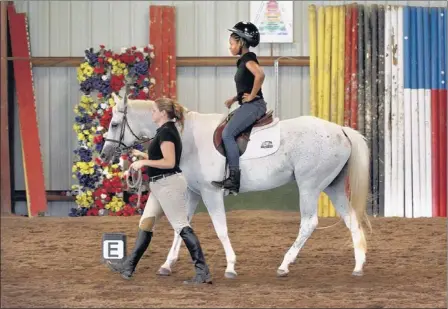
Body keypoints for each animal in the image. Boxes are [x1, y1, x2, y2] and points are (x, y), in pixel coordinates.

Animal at [100, 92, 372, 278]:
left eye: (114, 124)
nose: (104, 154)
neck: (187, 138)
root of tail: (340, 130)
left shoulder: (210, 192)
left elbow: (220, 228)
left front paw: (230, 266)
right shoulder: (192, 192)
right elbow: (181, 227)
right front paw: (167, 264)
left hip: (309, 187)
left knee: (309, 223)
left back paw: (285, 264)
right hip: (332, 187)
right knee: (351, 219)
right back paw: (358, 266)